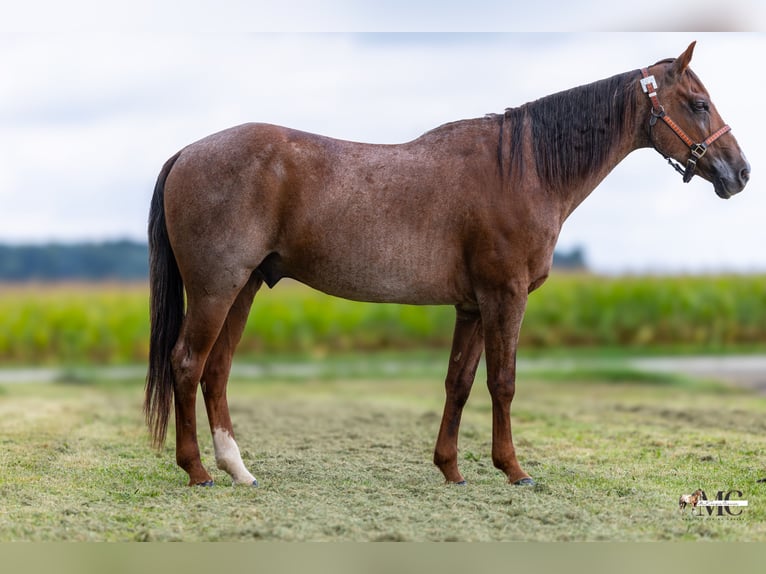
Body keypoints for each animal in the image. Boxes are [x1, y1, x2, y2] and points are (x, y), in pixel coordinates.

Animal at [145, 41, 749, 487]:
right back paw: (197, 471)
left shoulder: (472, 305)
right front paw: (514, 470)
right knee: (187, 364)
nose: (740, 172)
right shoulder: (505, 296)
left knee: (216, 371)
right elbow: (503, 382)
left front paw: (451, 469)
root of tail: (187, 152)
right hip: (216, 289)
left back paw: (237, 469)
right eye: (699, 104)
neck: (522, 168)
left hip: (243, 288)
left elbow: (458, 382)